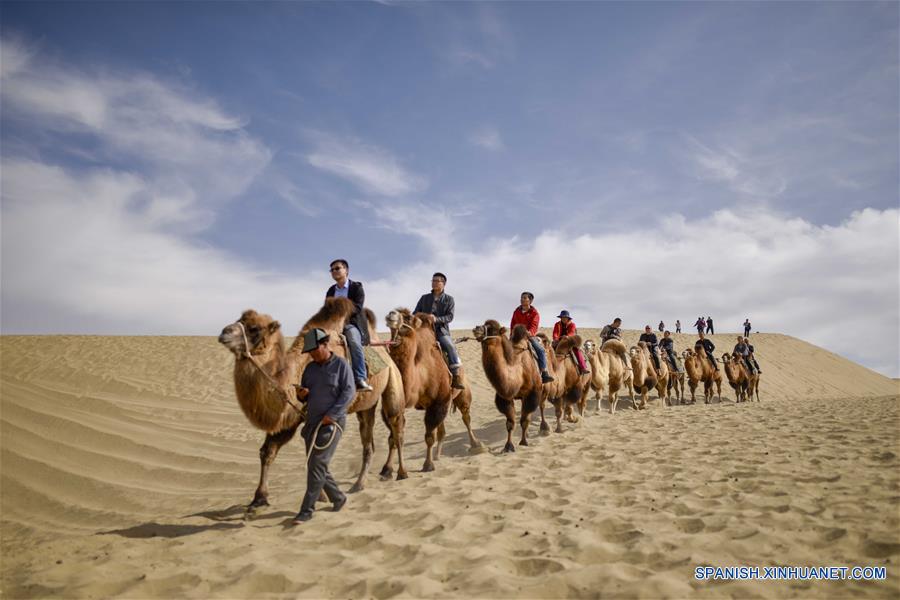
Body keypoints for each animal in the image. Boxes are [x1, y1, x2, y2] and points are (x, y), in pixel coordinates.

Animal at [218, 298, 404, 512]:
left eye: (254, 328)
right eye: (239, 320)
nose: (224, 332)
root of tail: (385, 350)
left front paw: (320, 496)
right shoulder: (293, 414)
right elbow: (268, 452)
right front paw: (259, 498)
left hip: (393, 380)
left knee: (396, 427)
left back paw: (396, 473)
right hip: (366, 406)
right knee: (369, 440)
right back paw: (361, 483)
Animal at [384, 310, 486, 474]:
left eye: (408, 317)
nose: (391, 314)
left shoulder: (438, 401)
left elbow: (429, 436)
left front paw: (428, 464)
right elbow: (393, 437)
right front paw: (387, 469)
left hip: (462, 395)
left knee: (466, 418)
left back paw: (476, 445)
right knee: (442, 429)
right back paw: (438, 455)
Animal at [474, 322, 536, 452]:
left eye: (492, 329)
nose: (477, 328)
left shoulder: (532, 393)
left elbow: (524, 420)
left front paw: (523, 442)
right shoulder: (505, 397)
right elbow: (510, 423)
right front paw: (508, 446)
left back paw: (545, 428)